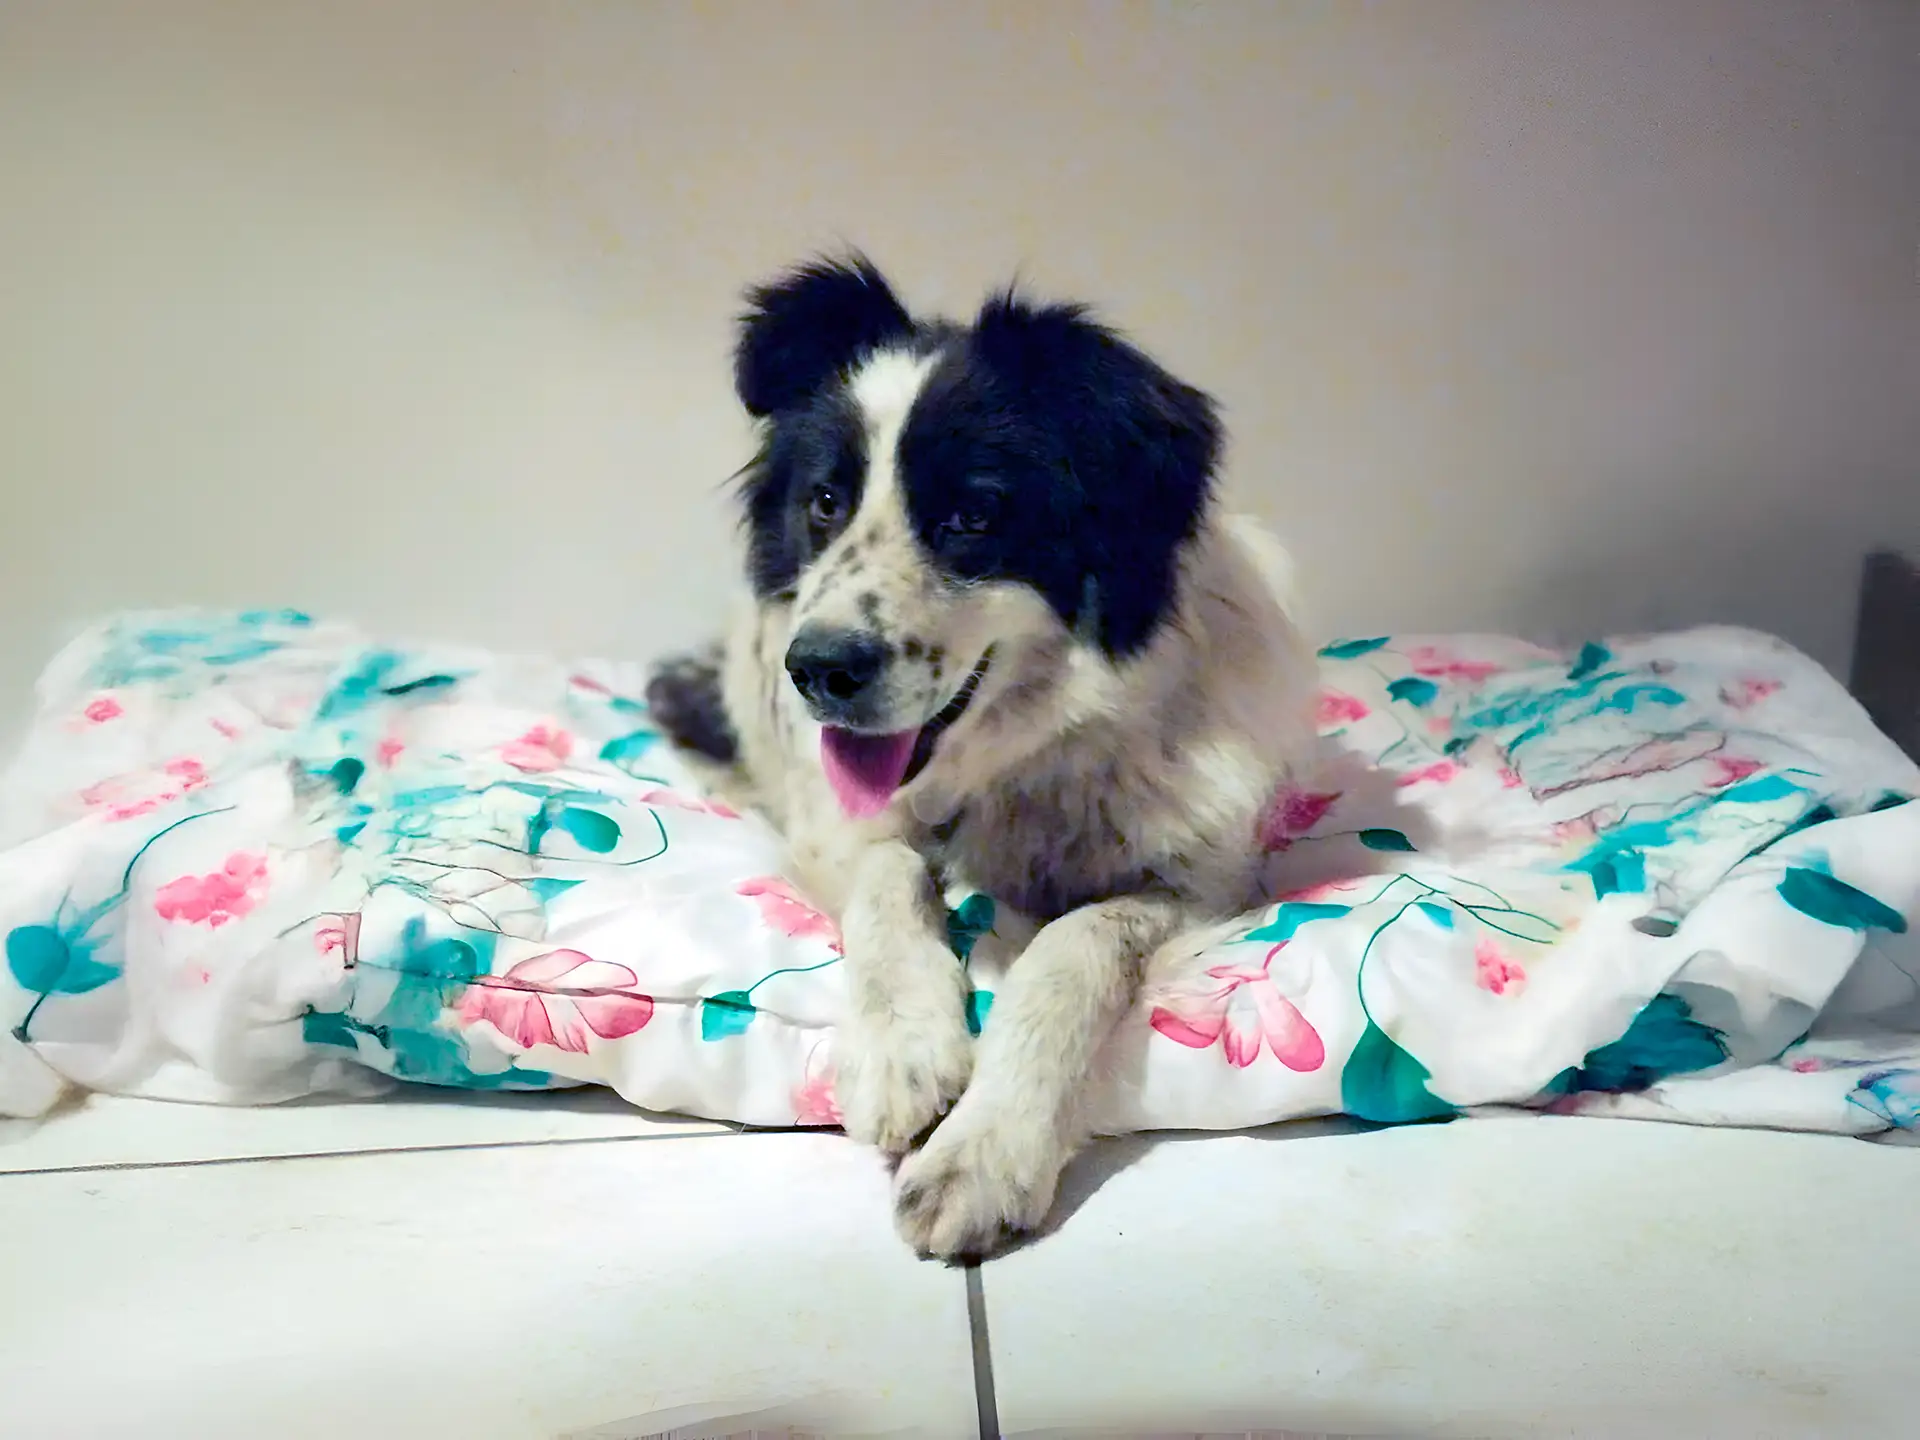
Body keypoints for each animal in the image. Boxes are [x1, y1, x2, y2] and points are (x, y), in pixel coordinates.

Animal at [645, 259, 1320, 1259]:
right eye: (825, 502)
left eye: (973, 513)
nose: (817, 670)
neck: (1021, 754)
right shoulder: (847, 826)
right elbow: (889, 873)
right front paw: (902, 1049)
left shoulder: (1201, 880)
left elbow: (1071, 948)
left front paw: (983, 1153)